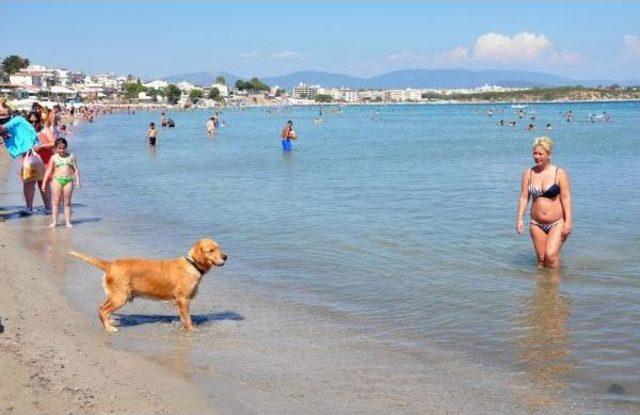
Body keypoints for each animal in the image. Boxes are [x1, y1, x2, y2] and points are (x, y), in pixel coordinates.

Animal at [68, 239, 225, 334]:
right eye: (211, 250)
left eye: (219, 248)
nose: (226, 256)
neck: (192, 264)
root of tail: (111, 264)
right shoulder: (183, 299)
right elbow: (187, 318)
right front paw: (191, 329)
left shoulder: (181, 302)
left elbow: (183, 317)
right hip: (120, 297)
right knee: (103, 310)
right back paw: (109, 328)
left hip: (113, 295)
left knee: (102, 308)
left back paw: (110, 321)